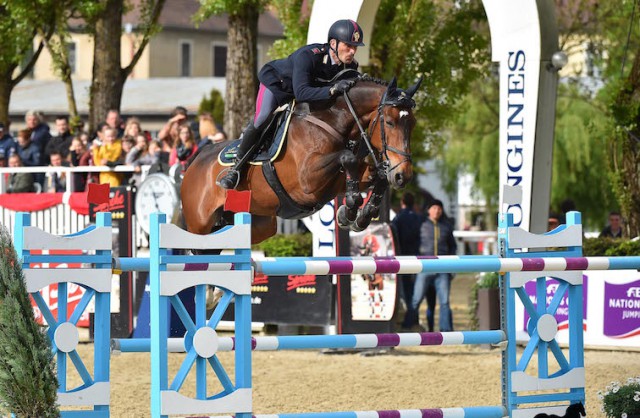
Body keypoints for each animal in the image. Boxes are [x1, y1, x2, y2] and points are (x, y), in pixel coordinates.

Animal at [180, 76, 422, 243]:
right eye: (389, 122)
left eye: (413, 124)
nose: (403, 176)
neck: (332, 121)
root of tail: (194, 161)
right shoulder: (307, 181)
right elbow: (348, 158)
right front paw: (351, 207)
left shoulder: (335, 182)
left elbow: (376, 175)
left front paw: (360, 215)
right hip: (199, 225)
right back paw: (229, 178)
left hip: (258, 223)